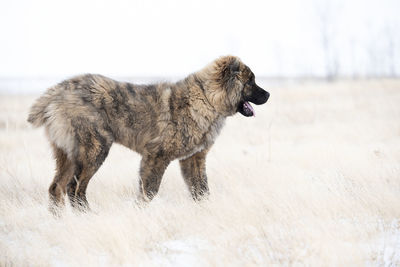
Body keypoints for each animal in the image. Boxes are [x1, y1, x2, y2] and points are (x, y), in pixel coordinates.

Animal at [28, 56, 268, 214]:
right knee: (74, 187)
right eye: (250, 81)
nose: (268, 94)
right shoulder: (156, 156)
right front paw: (139, 211)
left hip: (67, 154)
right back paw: (86, 215)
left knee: (56, 187)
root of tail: (56, 93)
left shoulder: (193, 159)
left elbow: (201, 189)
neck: (206, 98)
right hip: (94, 150)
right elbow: (150, 190)